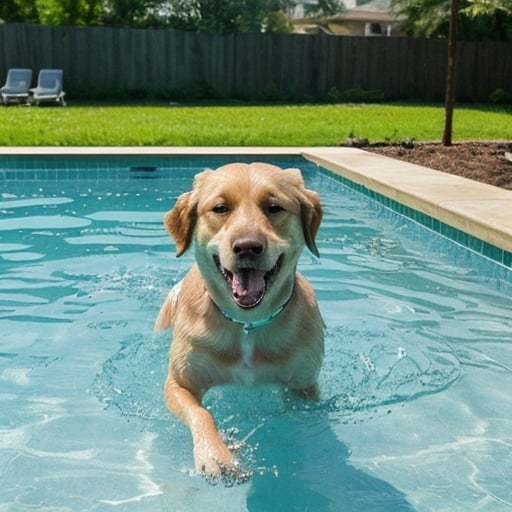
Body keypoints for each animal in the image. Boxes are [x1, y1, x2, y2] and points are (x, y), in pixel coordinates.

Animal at [155, 163, 324, 480]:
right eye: (220, 208)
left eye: (274, 207)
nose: (247, 247)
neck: (247, 325)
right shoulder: (179, 384)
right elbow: (200, 412)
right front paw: (215, 454)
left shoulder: (304, 388)